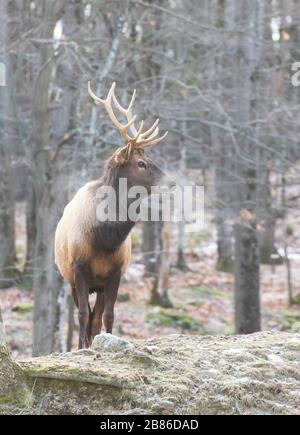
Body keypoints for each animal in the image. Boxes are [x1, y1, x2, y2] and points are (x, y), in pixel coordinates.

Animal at [54, 81, 171, 348]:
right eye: (141, 163)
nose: (171, 182)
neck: (104, 238)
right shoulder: (78, 268)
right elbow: (82, 315)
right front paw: (80, 348)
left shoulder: (115, 272)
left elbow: (108, 315)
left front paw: (109, 340)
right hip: (71, 280)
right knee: (84, 316)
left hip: (99, 285)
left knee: (96, 318)